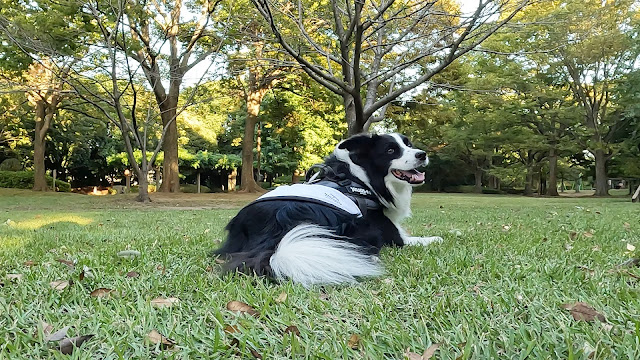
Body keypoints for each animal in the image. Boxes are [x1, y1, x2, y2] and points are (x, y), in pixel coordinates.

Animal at [214, 132, 440, 286]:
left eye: (408, 144)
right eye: (391, 150)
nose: (422, 154)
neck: (363, 178)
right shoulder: (392, 235)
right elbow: (420, 239)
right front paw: (437, 238)